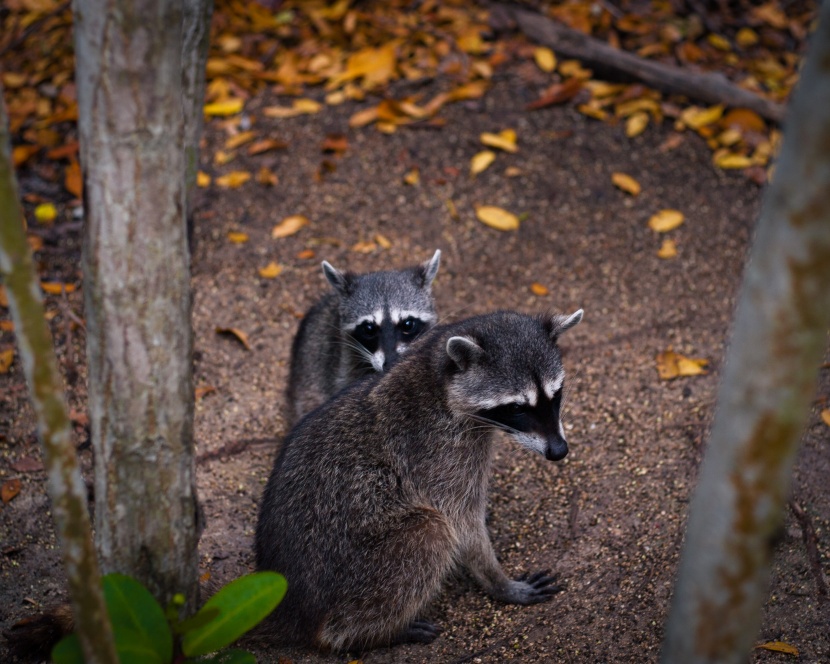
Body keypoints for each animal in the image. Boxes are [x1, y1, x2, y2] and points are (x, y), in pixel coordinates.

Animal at [255, 308, 584, 652]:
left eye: (556, 395)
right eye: (518, 407)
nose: (559, 451)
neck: (437, 380)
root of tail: (291, 610)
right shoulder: (438, 457)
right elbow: (461, 524)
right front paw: (499, 582)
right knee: (430, 532)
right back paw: (370, 632)